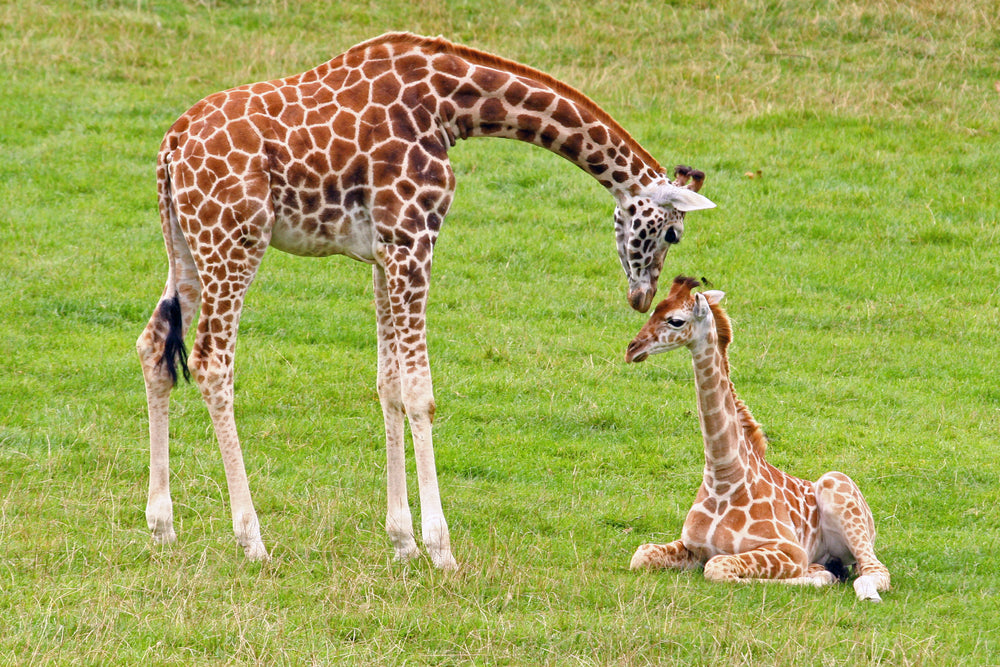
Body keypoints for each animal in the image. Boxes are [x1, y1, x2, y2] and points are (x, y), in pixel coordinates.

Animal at [136, 33, 716, 569]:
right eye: (672, 234)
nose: (641, 296)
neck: (449, 106)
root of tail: (169, 145)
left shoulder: (383, 253)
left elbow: (388, 384)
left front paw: (403, 542)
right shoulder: (413, 241)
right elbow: (420, 392)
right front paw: (440, 548)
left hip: (185, 245)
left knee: (153, 344)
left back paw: (162, 527)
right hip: (234, 241)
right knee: (212, 362)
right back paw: (251, 539)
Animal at [624, 277, 890, 601]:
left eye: (675, 320)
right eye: (653, 310)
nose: (632, 349)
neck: (723, 476)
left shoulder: (789, 551)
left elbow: (717, 567)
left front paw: (816, 576)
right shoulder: (690, 546)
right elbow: (641, 554)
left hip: (839, 491)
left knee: (876, 571)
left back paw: (860, 588)